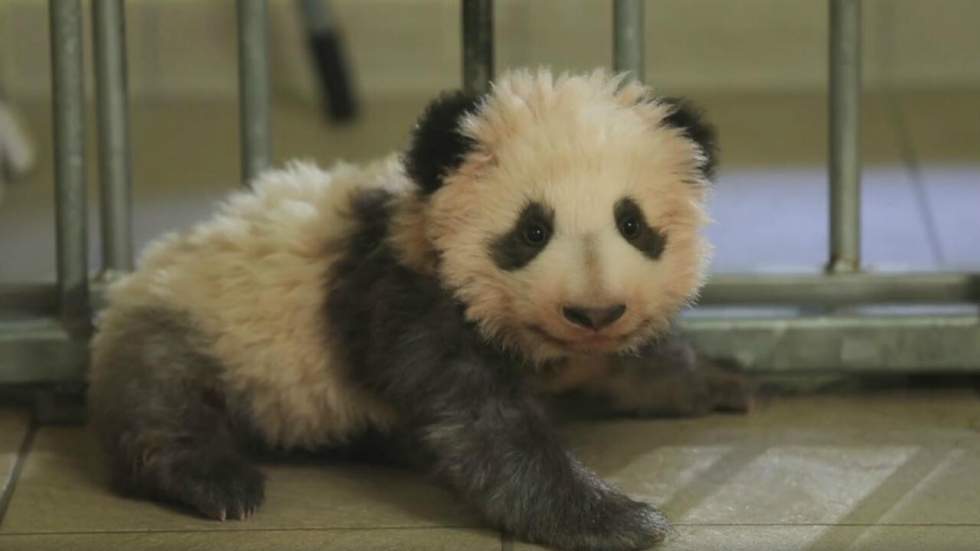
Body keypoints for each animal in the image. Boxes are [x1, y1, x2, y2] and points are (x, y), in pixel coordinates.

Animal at [92, 70, 748, 551]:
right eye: (532, 230)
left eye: (632, 224)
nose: (594, 312)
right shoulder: (408, 300)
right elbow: (485, 429)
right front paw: (618, 519)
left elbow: (636, 366)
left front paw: (720, 380)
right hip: (196, 325)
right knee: (162, 403)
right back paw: (218, 482)